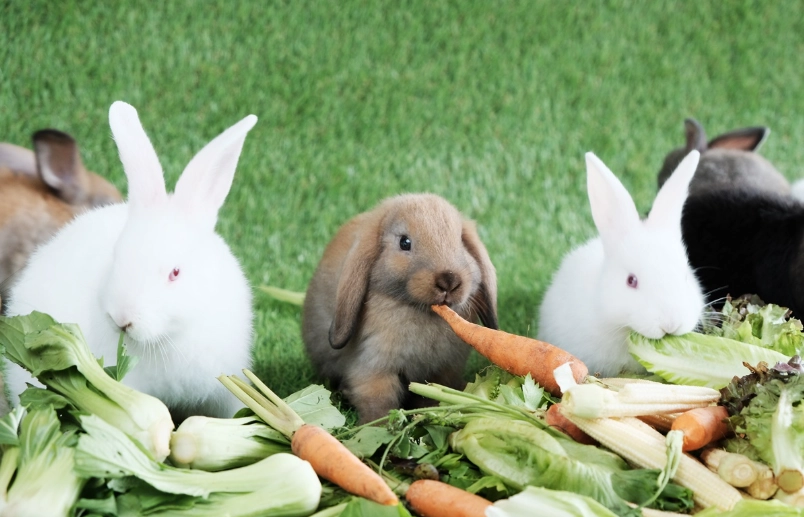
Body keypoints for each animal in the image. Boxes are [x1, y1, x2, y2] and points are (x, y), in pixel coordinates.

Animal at [301, 193, 498, 424]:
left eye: (461, 241)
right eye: (405, 242)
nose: (449, 280)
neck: (422, 312)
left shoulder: (443, 370)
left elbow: (434, 396)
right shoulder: (373, 368)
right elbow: (379, 402)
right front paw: (378, 427)